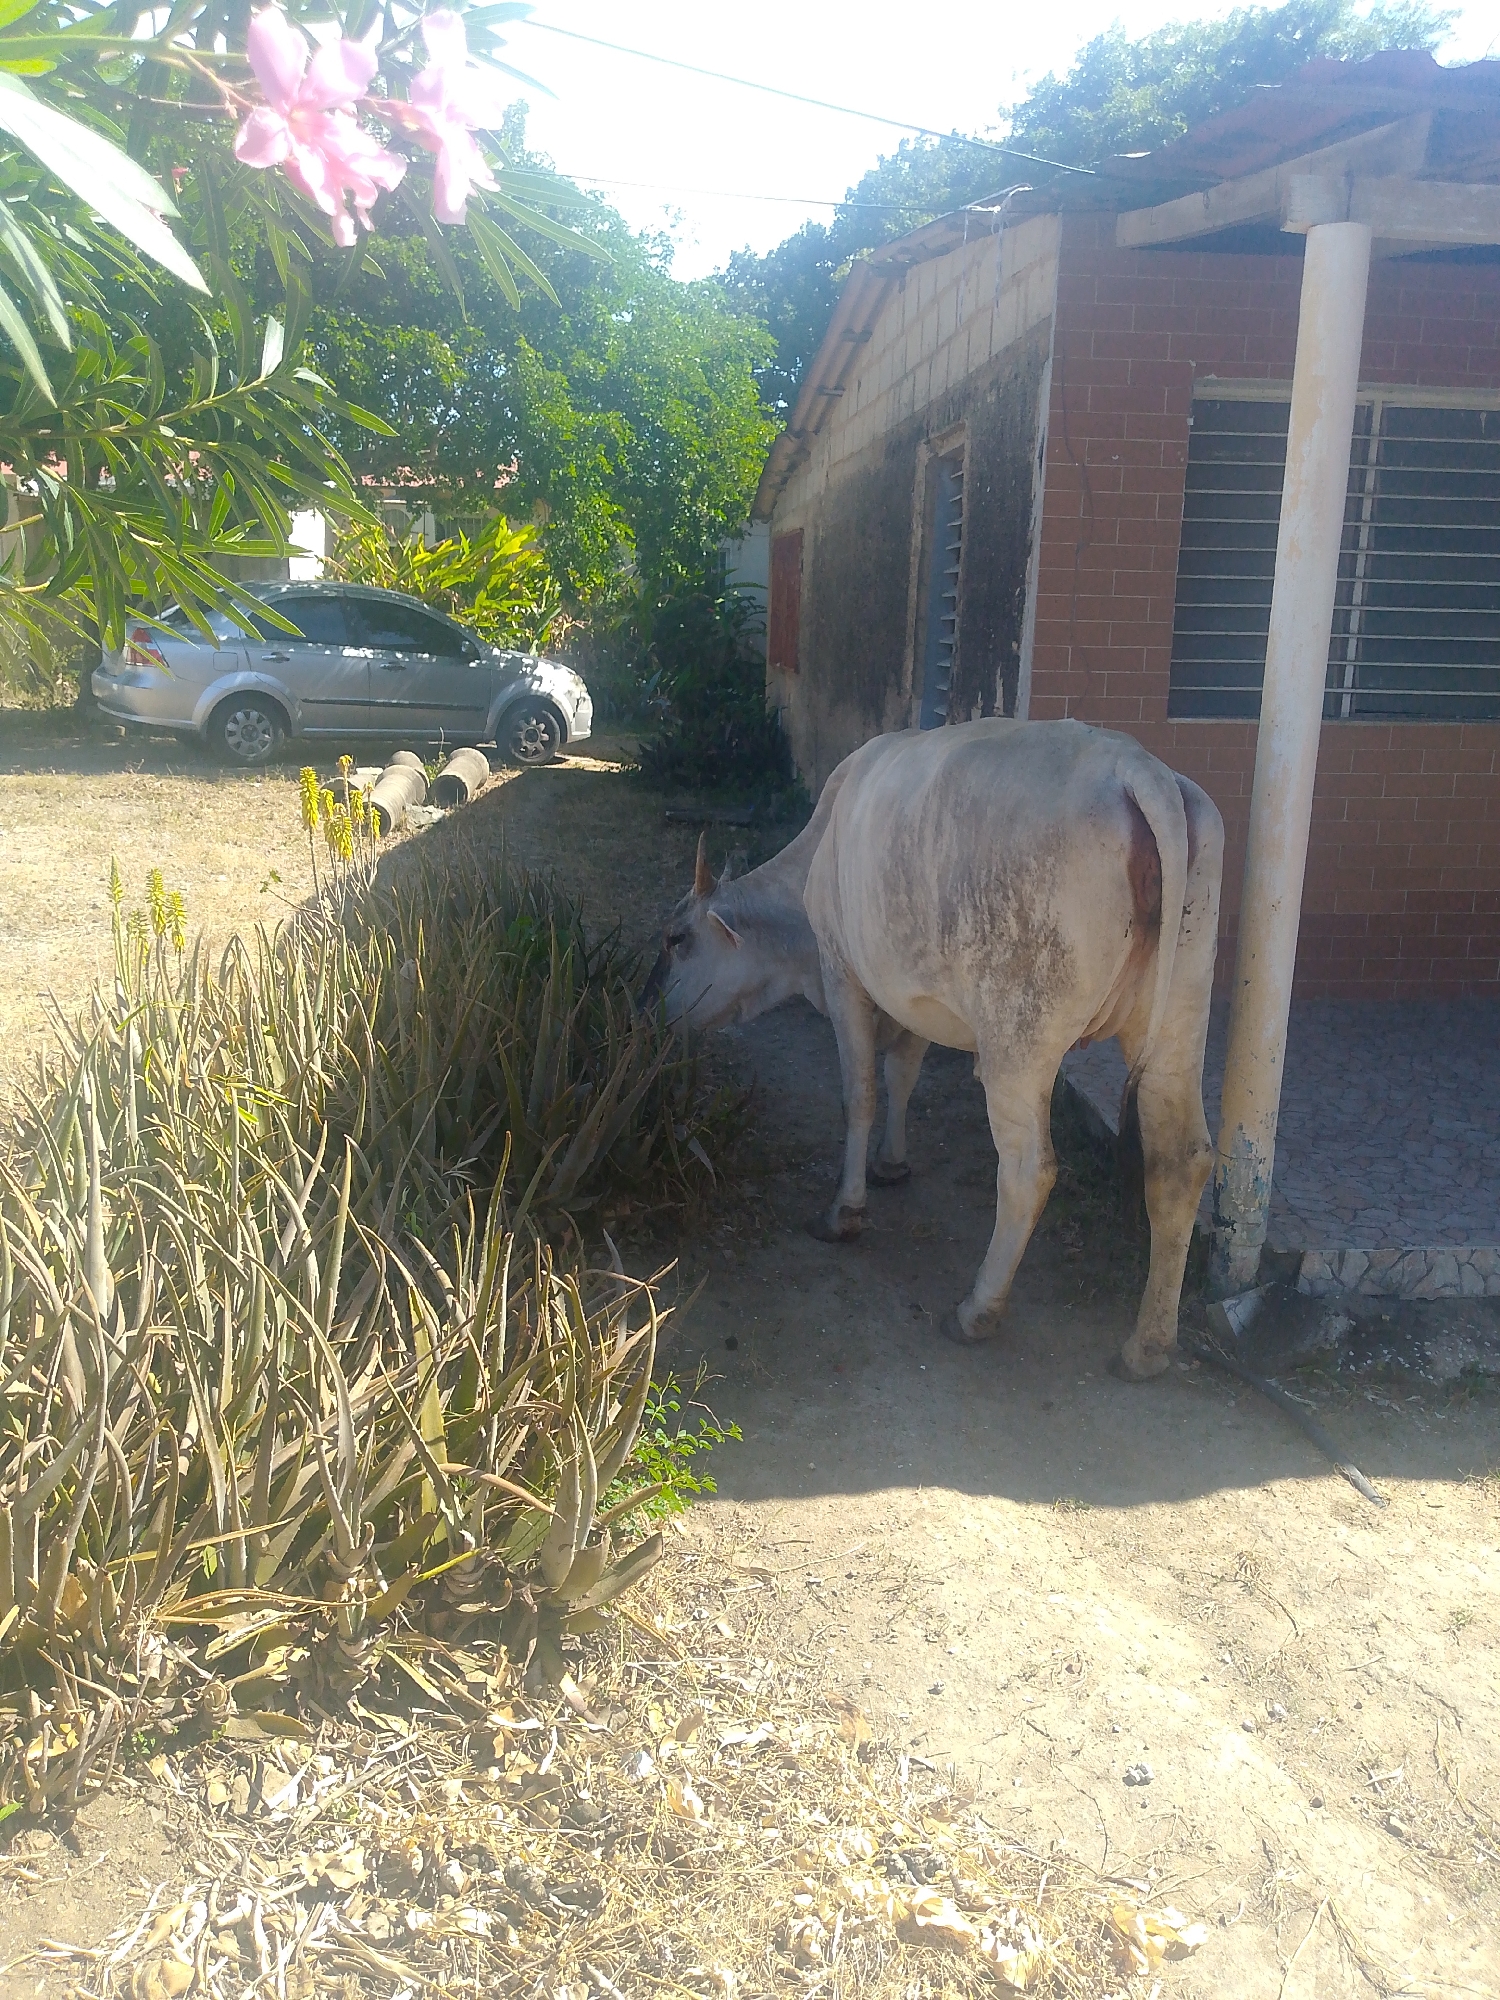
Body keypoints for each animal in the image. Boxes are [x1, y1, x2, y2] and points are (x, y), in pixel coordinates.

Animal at [643, 719, 1223, 1381]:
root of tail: (1136, 766)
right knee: (1182, 1161)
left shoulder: (842, 975)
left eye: (676, 938)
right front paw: (892, 1163)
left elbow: (861, 1095)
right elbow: (902, 1075)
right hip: (1180, 1024)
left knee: (1029, 1169)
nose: (646, 1009)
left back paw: (978, 1310)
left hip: (1018, 1039)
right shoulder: (913, 996)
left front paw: (845, 1211)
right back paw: (1148, 1344)